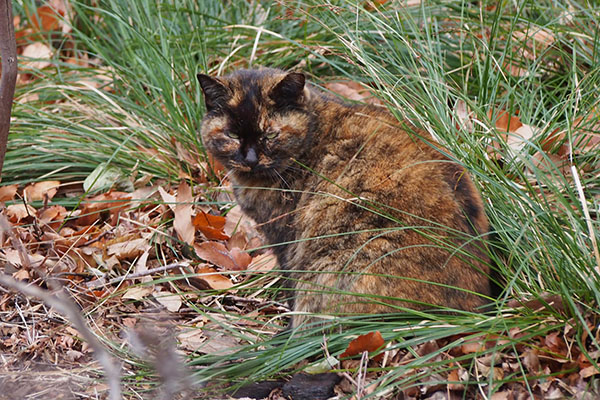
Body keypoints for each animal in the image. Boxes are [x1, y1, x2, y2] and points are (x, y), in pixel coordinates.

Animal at [199, 67, 490, 326]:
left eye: (270, 134)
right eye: (232, 134)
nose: (249, 159)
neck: (312, 134)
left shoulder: (285, 240)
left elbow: (290, 284)